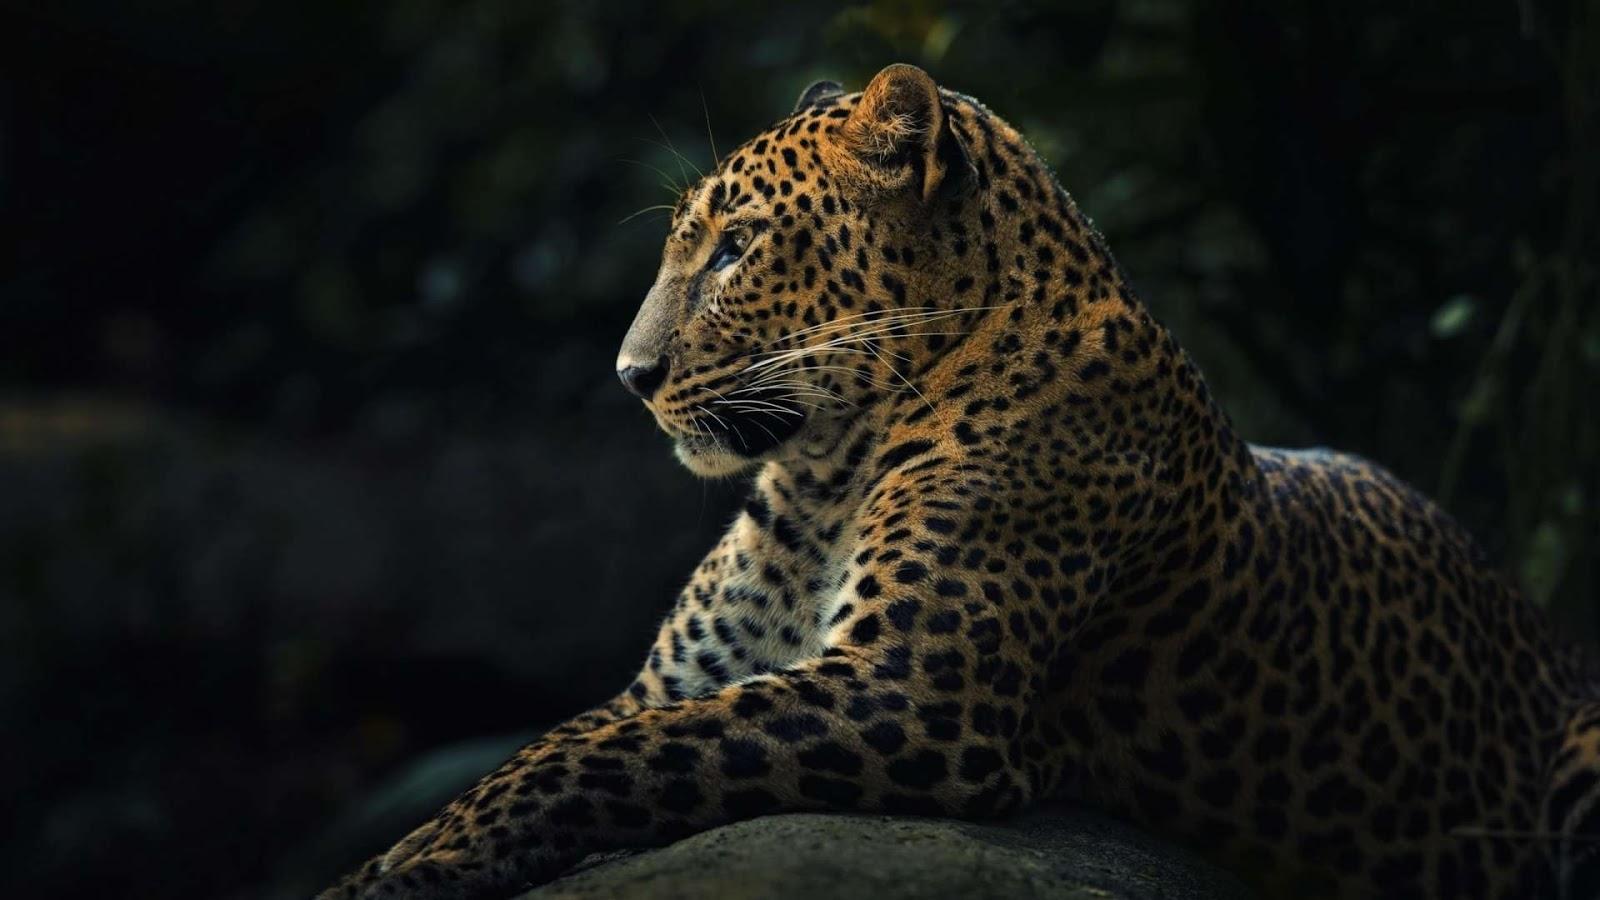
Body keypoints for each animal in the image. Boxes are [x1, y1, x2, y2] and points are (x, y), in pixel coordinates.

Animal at [320, 64, 1600, 899]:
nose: (632, 378)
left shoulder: (911, 694)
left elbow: (594, 756)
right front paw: (397, 857)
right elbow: (544, 749)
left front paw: (413, 868)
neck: (819, 480)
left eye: (734, 248)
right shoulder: (674, 679)